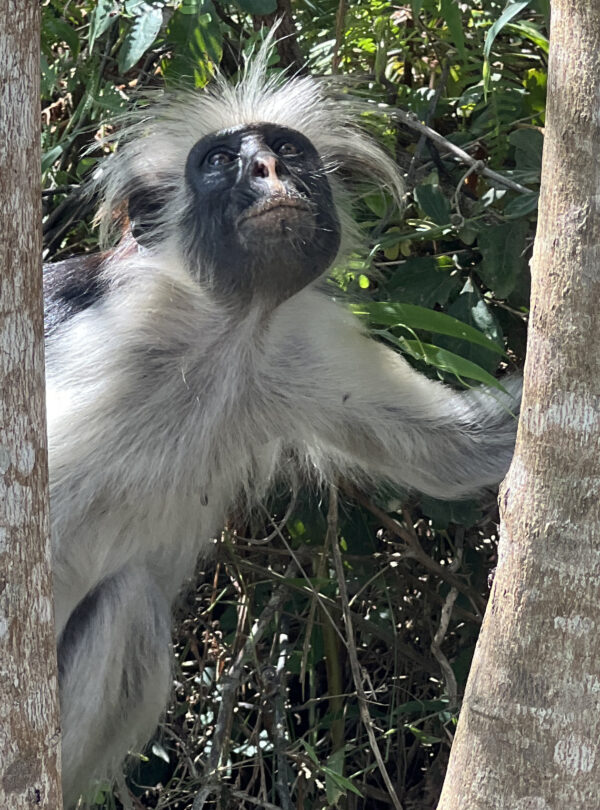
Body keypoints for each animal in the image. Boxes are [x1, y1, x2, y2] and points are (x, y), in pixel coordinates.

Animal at [43, 46, 520, 807]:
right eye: (218, 162)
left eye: (289, 151)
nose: (270, 169)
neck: (227, 334)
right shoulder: (121, 328)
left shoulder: (295, 341)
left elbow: (463, 451)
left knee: (129, 605)